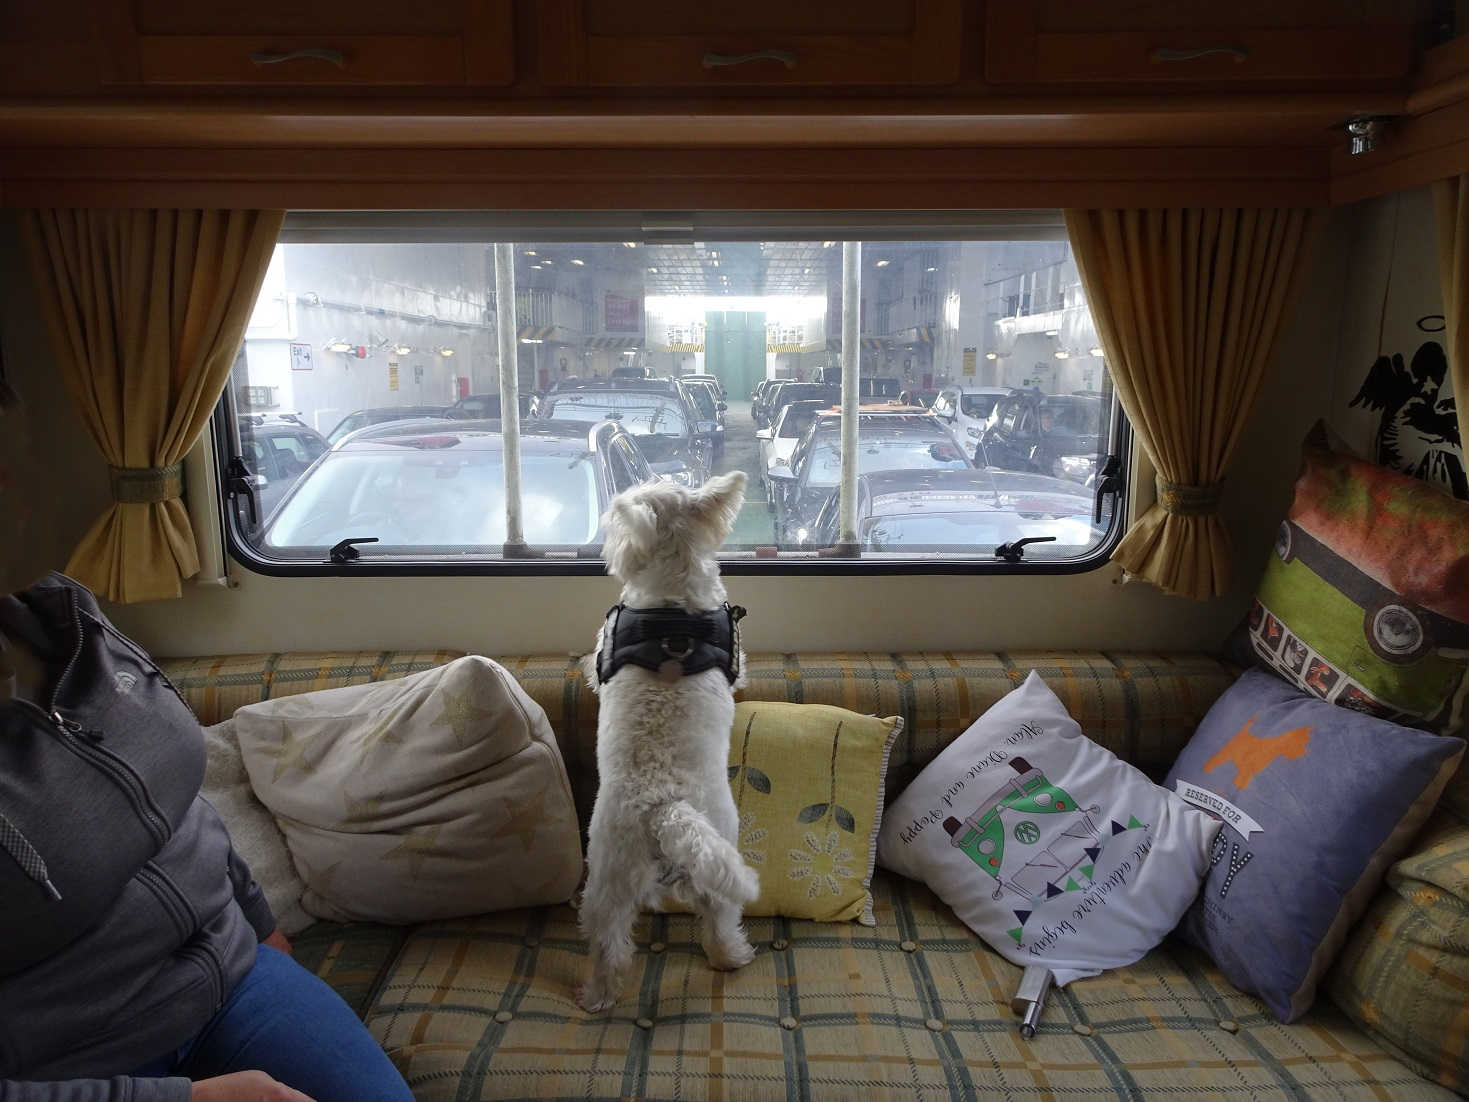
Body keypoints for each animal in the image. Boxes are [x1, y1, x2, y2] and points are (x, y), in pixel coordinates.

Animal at [572, 470, 758, 1016]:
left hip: (609, 874)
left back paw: (597, 997)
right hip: (704, 855)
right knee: (717, 922)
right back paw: (734, 958)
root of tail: (664, 806)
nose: (606, 547)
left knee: (610, 944)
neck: (674, 609)